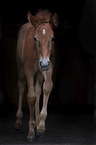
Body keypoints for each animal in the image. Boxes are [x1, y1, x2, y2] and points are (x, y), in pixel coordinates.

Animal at [15, 9, 58, 141]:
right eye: (35, 38)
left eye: (52, 38)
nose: (43, 63)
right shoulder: (28, 69)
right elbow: (31, 97)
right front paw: (30, 132)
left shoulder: (49, 66)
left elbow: (47, 87)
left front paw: (40, 127)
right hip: (20, 66)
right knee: (21, 86)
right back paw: (19, 122)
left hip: (39, 72)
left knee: (38, 89)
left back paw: (37, 122)